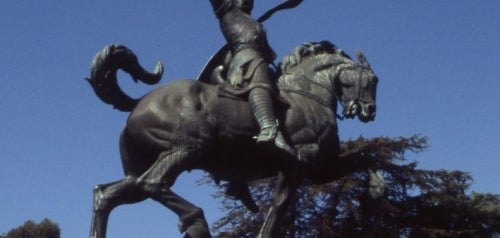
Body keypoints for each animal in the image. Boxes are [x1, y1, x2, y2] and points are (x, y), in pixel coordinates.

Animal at [86, 41, 378, 238]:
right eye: (371, 79)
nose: (369, 111)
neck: (306, 94)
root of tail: (139, 103)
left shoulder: (319, 169)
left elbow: (367, 157)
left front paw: (377, 189)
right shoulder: (299, 164)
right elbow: (279, 206)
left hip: (138, 169)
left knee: (106, 195)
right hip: (188, 148)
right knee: (152, 183)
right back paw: (196, 222)